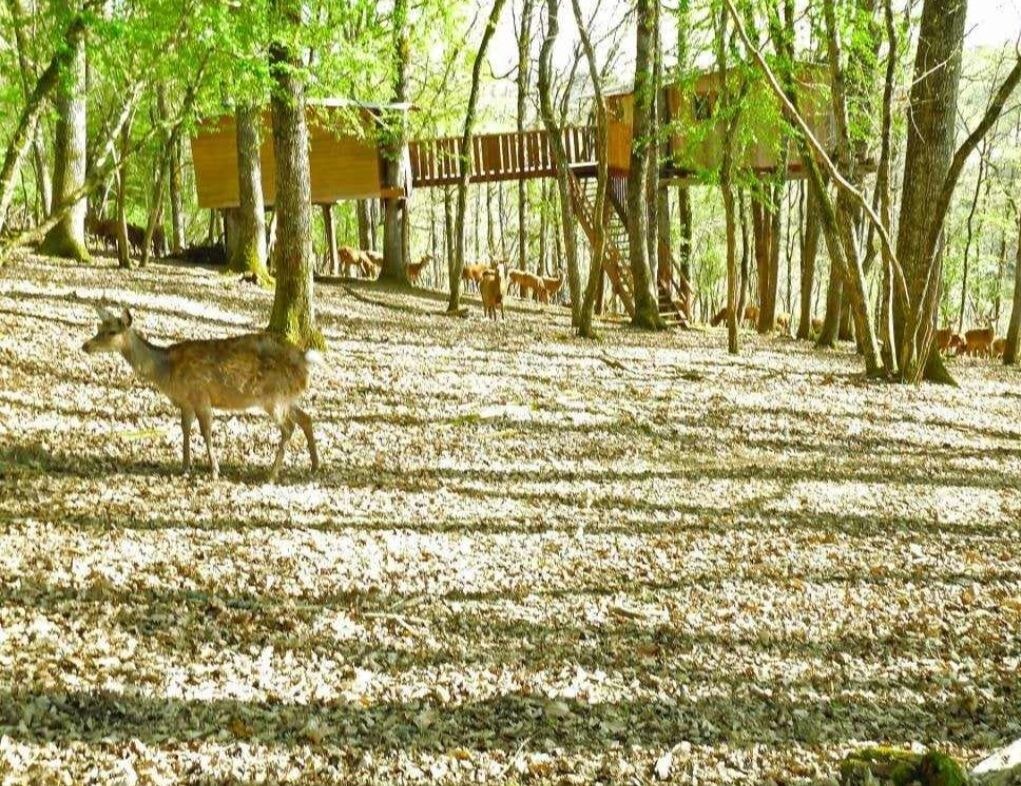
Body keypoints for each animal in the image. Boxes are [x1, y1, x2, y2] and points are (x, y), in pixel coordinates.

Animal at [82, 304, 316, 477]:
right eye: (98, 327)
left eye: (111, 331)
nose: (85, 346)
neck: (166, 372)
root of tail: (305, 364)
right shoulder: (185, 401)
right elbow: (185, 428)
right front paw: (185, 467)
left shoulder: (201, 395)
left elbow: (206, 431)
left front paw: (214, 470)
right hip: (287, 397)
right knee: (306, 418)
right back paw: (314, 466)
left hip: (273, 397)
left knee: (288, 427)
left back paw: (272, 474)